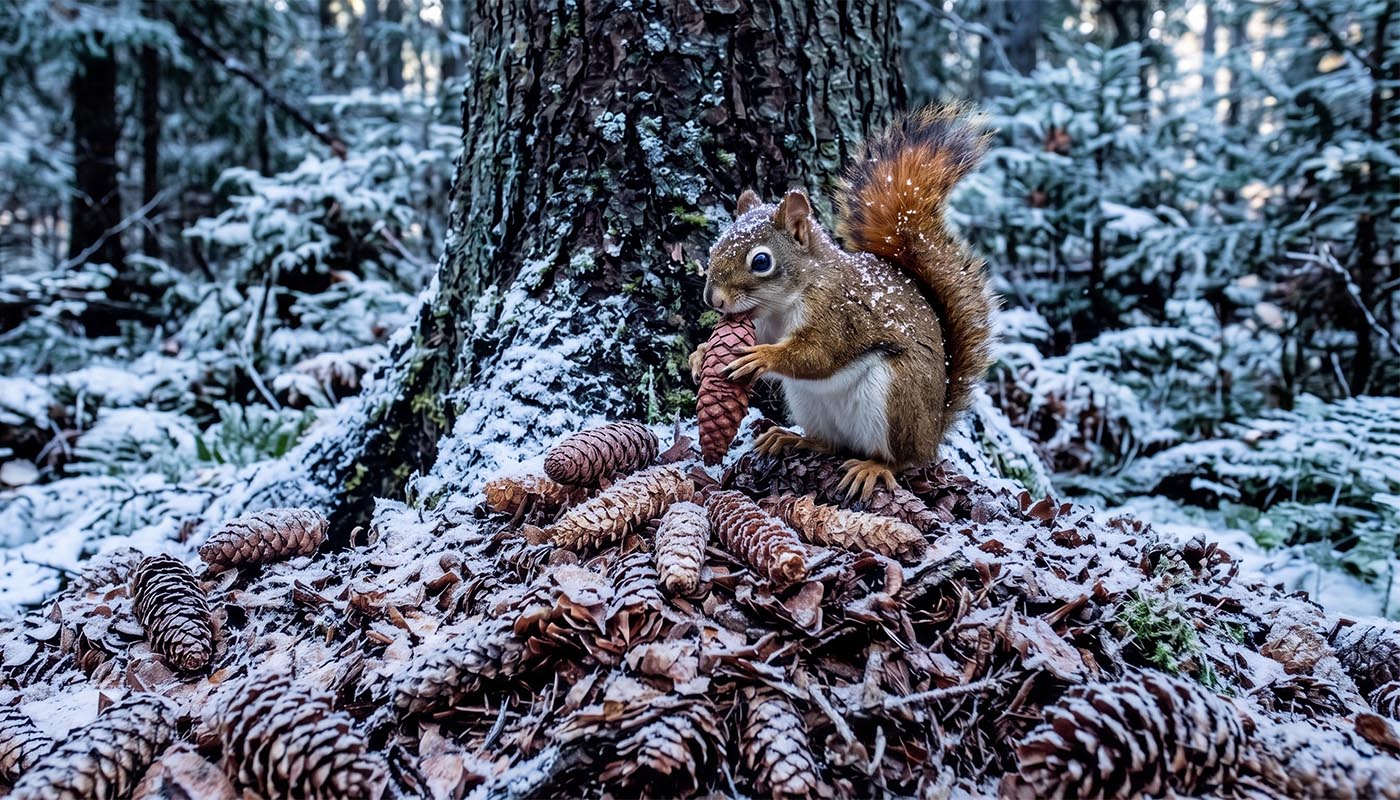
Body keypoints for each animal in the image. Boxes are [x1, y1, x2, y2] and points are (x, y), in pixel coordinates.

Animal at [691, 105, 997, 500]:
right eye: (714, 247)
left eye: (760, 261)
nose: (713, 299)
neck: (783, 305)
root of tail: (932, 434)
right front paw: (701, 355)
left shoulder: (839, 314)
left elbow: (818, 355)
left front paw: (763, 358)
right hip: (809, 404)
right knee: (832, 443)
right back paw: (790, 438)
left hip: (897, 394)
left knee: (901, 459)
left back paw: (873, 467)